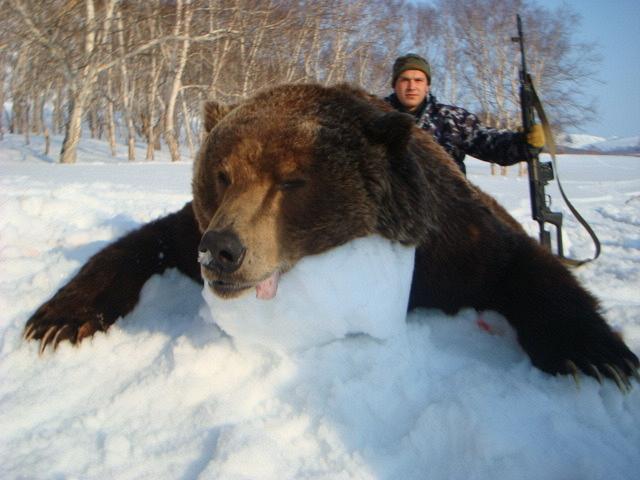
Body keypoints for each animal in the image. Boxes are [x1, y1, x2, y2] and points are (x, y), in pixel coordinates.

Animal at [25, 83, 640, 390]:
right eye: (222, 174)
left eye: (292, 179)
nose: (222, 251)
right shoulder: (193, 225)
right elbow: (141, 244)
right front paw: (57, 318)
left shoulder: (452, 239)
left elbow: (523, 263)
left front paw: (598, 356)